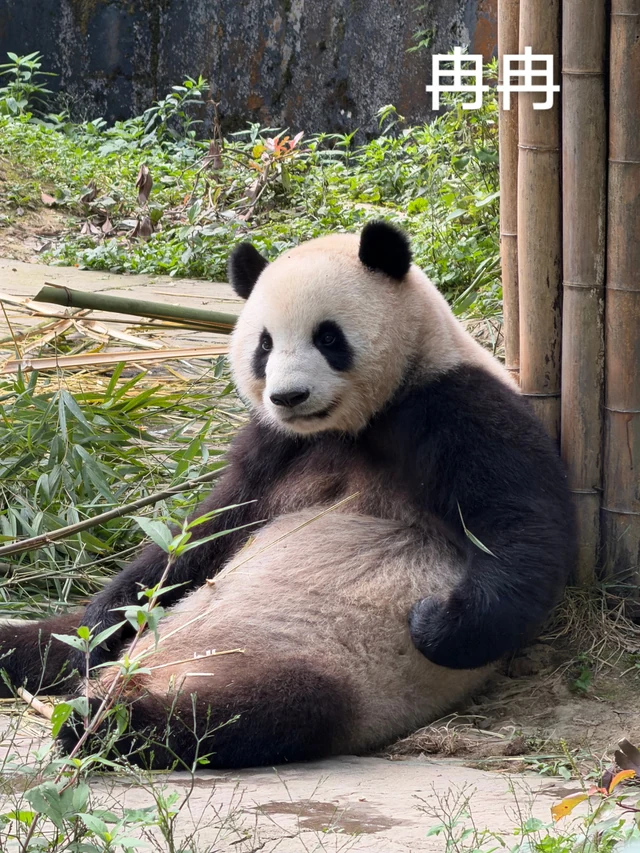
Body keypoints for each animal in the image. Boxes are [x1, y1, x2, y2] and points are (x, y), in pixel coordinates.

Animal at [0, 222, 575, 769]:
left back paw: (102, 720)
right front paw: (110, 612)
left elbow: (522, 526)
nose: (288, 396)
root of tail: (149, 670)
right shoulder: (277, 446)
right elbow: (207, 531)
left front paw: (436, 624)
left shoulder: (455, 406)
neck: (351, 425)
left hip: (319, 673)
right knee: (49, 645)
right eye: (264, 344)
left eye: (329, 337)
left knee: (244, 715)